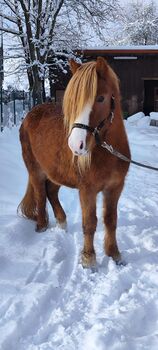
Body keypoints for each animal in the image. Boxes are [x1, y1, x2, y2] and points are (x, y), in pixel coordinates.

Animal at [18, 56, 130, 268]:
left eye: (101, 98)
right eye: (73, 102)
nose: (76, 145)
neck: (106, 152)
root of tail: (29, 115)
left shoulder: (115, 188)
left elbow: (111, 220)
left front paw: (114, 254)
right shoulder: (87, 190)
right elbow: (90, 223)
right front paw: (89, 259)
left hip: (55, 172)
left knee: (51, 193)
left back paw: (62, 222)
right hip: (35, 169)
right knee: (40, 194)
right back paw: (42, 226)